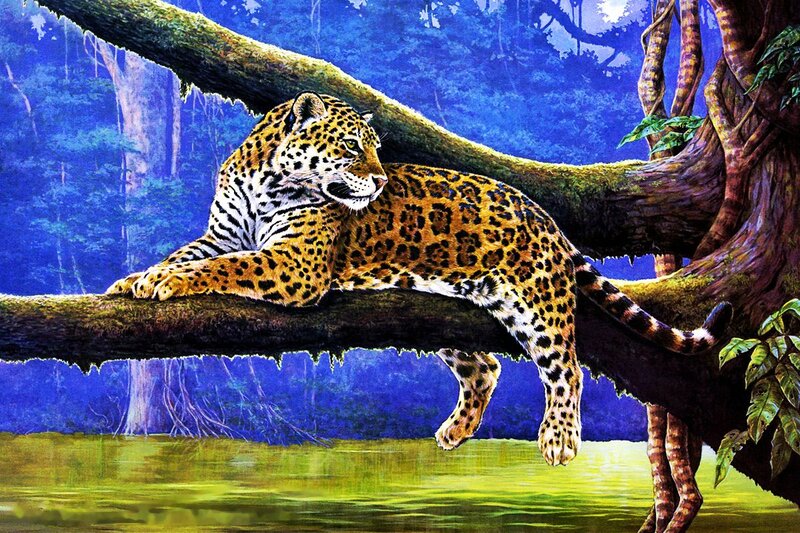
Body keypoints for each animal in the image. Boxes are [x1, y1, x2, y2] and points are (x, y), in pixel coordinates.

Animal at [108, 92, 732, 466]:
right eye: (351, 147)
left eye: (376, 150)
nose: (382, 181)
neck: (267, 179)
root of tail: (543, 213)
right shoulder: (224, 233)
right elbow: (190, 254)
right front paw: (133, 279)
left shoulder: (295, 261)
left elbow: (221, 267)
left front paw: (160, 285)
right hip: (448, 308)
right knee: (486, 366)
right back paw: (454, 431)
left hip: (538, 301)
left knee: (566, 368)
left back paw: (557, 440)